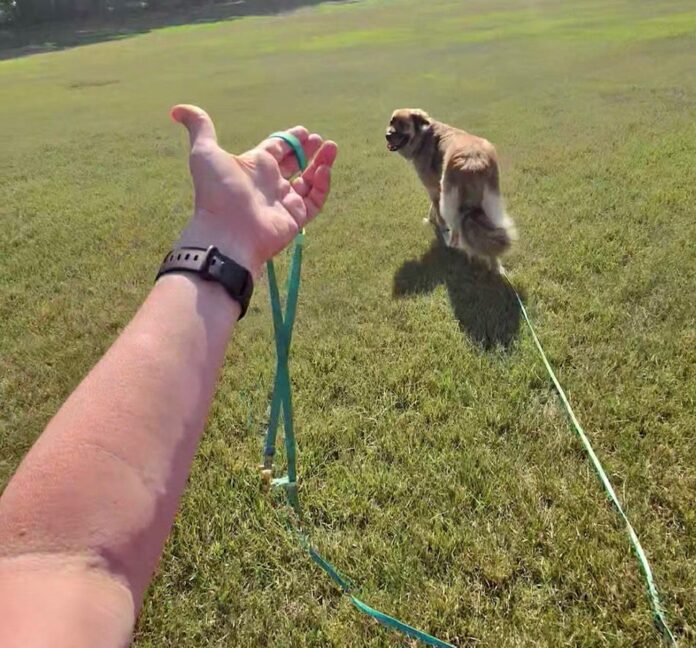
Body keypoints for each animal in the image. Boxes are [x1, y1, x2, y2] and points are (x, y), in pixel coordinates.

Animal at [386, 109, 516, 270]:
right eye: (391, 122)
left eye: (402, 124)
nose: (387, 135)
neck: (422, 137)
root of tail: (474, 162)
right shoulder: (437, 187)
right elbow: (432, 208)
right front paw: (429, 219)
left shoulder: (434, 189)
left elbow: (439, 216)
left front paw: (438, 228)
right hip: (492, 203)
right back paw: (496, 267)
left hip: (450, 201)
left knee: (456, 226)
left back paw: (453, 245)